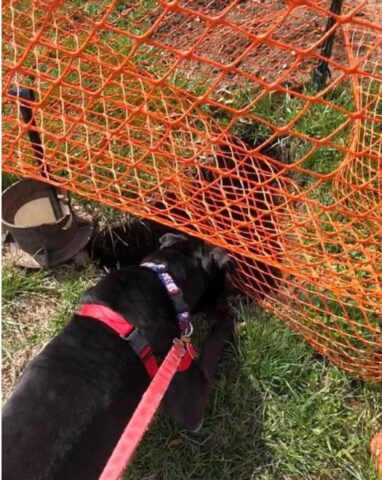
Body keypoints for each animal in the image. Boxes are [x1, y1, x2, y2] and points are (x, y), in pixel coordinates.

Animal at [2, 232, 234, 476]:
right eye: (224, 279)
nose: (229, 301)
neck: (164, 278)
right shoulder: (188, 401)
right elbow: (210, 349)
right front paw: (228, 324)